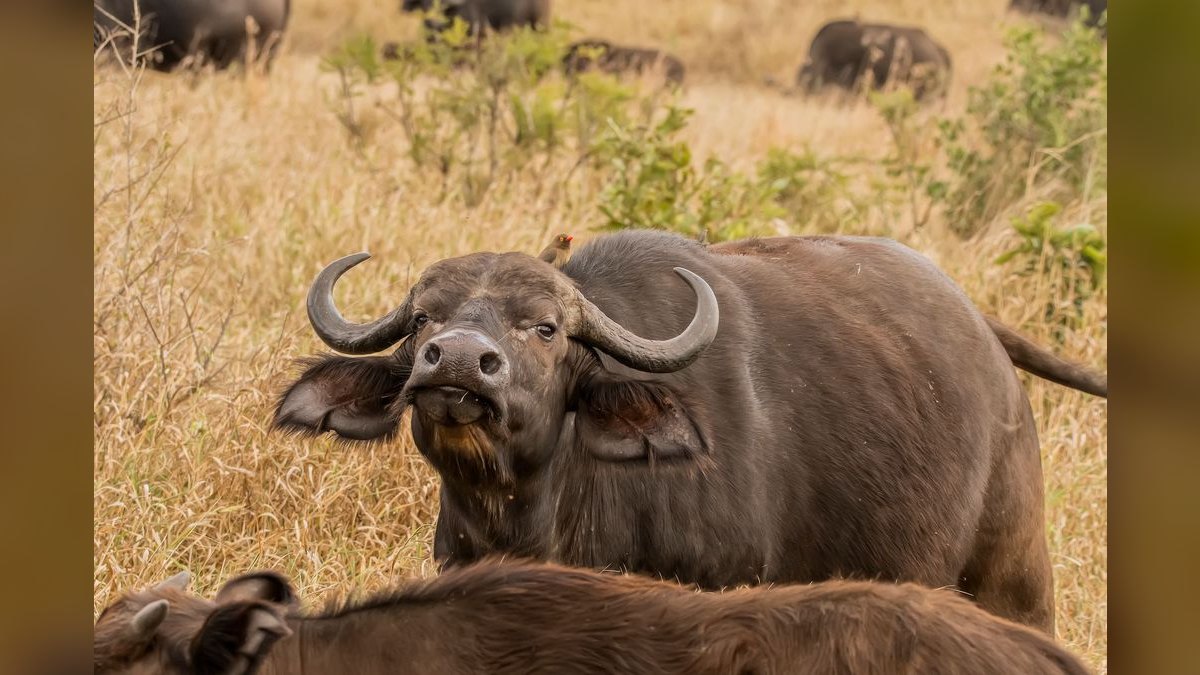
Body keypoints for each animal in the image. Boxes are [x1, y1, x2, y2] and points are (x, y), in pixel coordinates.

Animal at [274, 230, 1107, 633]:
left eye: (545, 327)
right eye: (423, 320)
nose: (456, 362)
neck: (542, 512)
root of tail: (986, 338)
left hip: (1014, 576)